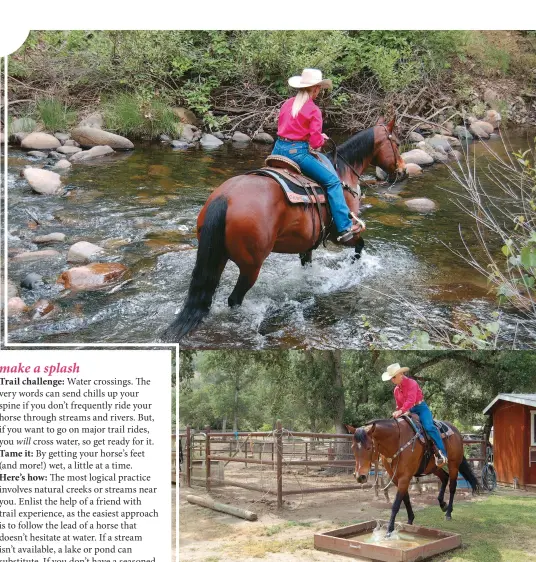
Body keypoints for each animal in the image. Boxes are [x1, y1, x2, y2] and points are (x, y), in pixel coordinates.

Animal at [161, 116, 404, 340]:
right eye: (398, 143)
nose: (403, 171)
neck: (342, 173)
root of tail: (224, 198)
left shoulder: (308, 243)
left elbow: (307, 265)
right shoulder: (341, 233)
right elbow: (359, 245)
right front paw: (354, 266)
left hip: (217, 257)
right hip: (251, 266)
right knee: (234, 299)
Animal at [346, 418, 480, 532]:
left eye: (369, 448)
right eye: (352, 447)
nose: (360, 476)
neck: (396, 441)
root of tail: (456, 431)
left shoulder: (405, 477)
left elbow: (396, 504)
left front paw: (389, 529)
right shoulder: (396, 478)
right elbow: (405, 498)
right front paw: (410, 520)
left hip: (454, 464)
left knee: (452, 486)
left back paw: (448, 513)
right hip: (433, 467)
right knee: (444, 478)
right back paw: (443, 504)